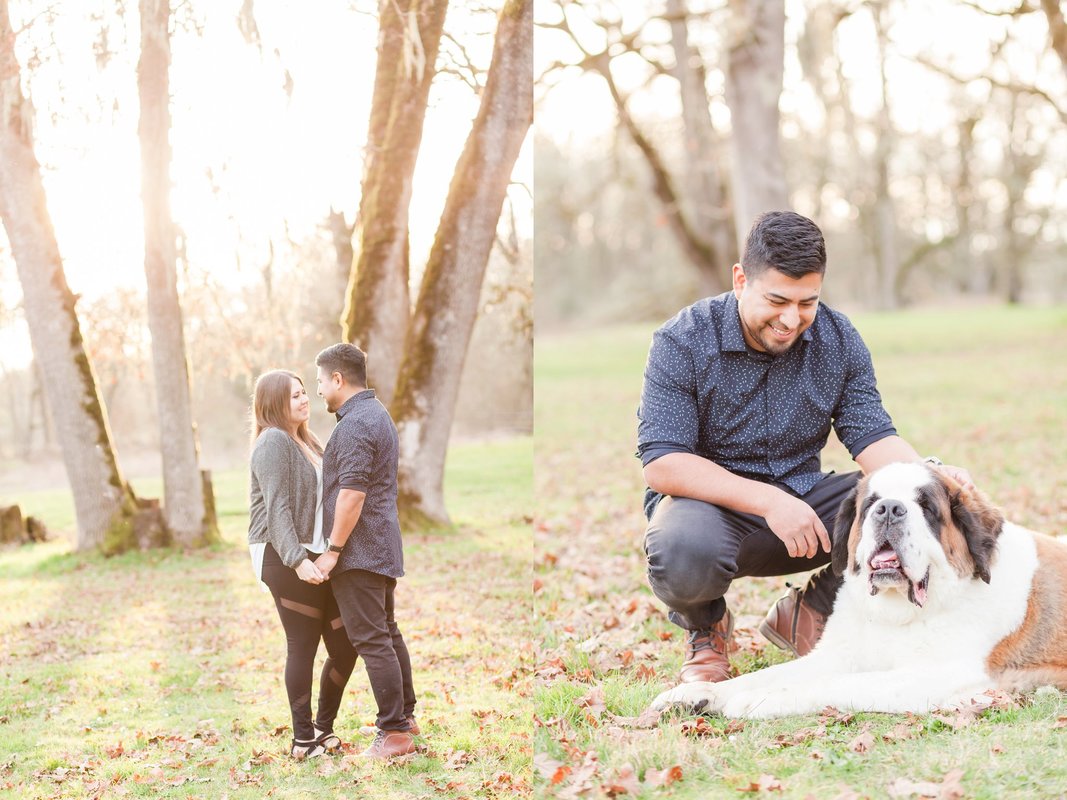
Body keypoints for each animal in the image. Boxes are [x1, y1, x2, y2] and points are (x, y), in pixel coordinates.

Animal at [648, 462, 1067, 721]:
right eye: (871, 503)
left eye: (926, 507)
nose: (890, 509)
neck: (897, 616)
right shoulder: (836, 655)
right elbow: (761, 675)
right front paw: (696, 693)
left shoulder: (936, 674)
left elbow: (836, 684)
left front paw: (762, 699)